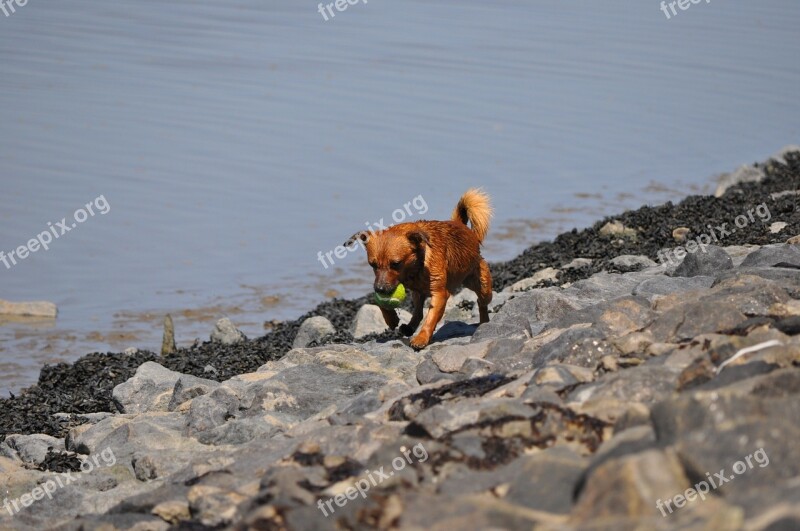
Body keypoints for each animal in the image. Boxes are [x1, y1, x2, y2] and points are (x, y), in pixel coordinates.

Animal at [346, 189, 490, 352]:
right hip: (417, 294)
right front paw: (391, 319)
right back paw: (409, 327)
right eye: (372, 265)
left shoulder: (439, 294)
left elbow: (430, 318)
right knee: (418, 312)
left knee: (481, 302)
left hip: (482, 285)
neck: (418, 265)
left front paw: (421, 338)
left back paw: (484, 323)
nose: (380, 289)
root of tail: (461, 225)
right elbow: (382, 304)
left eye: (396, 264)